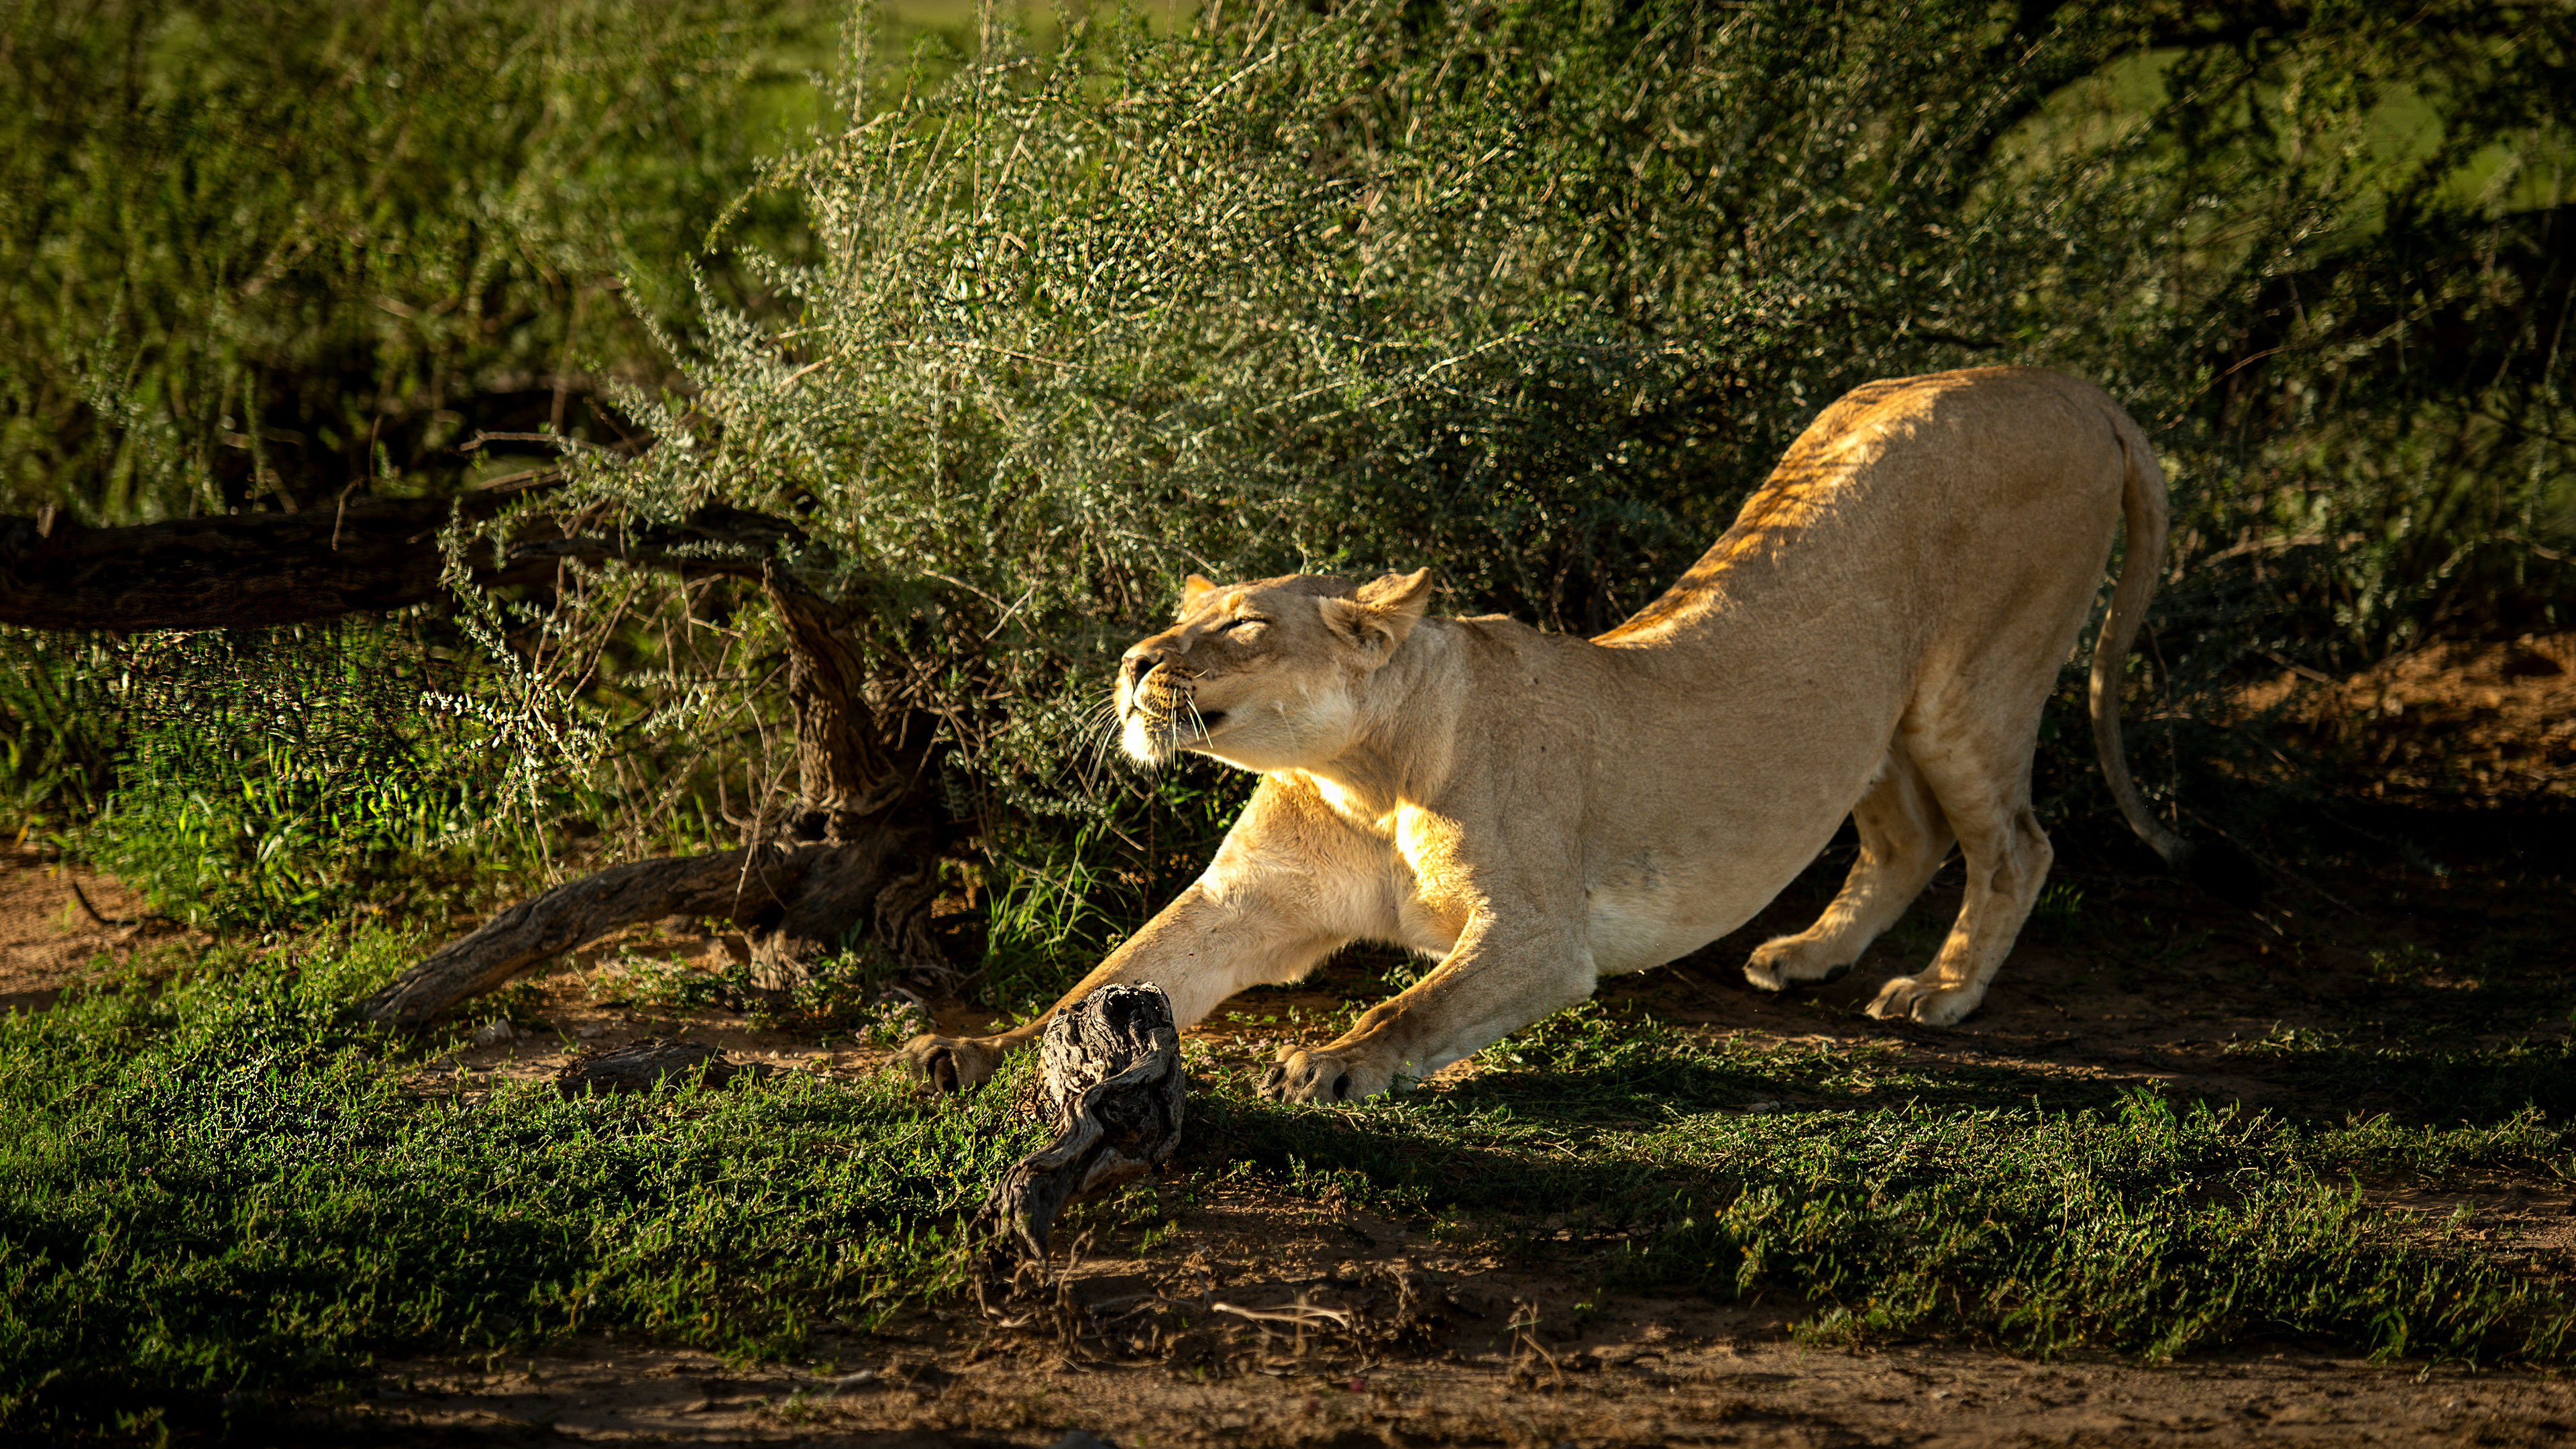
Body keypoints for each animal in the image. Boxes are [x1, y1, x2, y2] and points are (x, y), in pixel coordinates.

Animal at [904, 366, 2209, 1101]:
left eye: (1242, 626)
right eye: (1185, 614)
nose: (1133, 664)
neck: (1359, 779)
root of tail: (2069, 384)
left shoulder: (1540, 937)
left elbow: (1416, 1006)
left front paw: (1332, 1063)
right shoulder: (1246, 903)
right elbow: (1114, 978)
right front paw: (977, 1048)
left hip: (1973, 684)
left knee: (2018, 844)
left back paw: (1936, 993)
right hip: (1871, 716)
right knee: (1907, 839)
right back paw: (1805, 958)